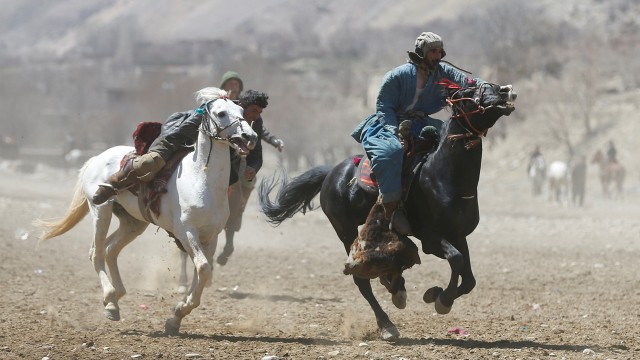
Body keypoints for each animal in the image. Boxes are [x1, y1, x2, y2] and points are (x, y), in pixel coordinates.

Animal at [36, 88, 258, 334]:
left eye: (241, 112)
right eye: (221, 113)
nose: (250, 137)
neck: (202, 180)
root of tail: (96, 158)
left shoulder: (210, 237)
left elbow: (202, 272)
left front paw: (176, 317)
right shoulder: (186, 232)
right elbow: (202, 267)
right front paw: (179, 311)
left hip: (133, 223)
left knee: (111, 249)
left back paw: (116, 298)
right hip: (101, 211)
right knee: (97, 252)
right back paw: (110, 300)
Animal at [258, 80, 516, 338]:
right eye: (468, 92)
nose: (505, 91)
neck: (444, 176)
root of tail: (332, 172)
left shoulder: (458, 234)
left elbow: (469, 276)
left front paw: (435, 295)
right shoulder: (430, 238)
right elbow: (456, 259)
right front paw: (441, 299)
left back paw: (397, 290)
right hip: (345, 230)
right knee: (361, 278)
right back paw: (386, 323)